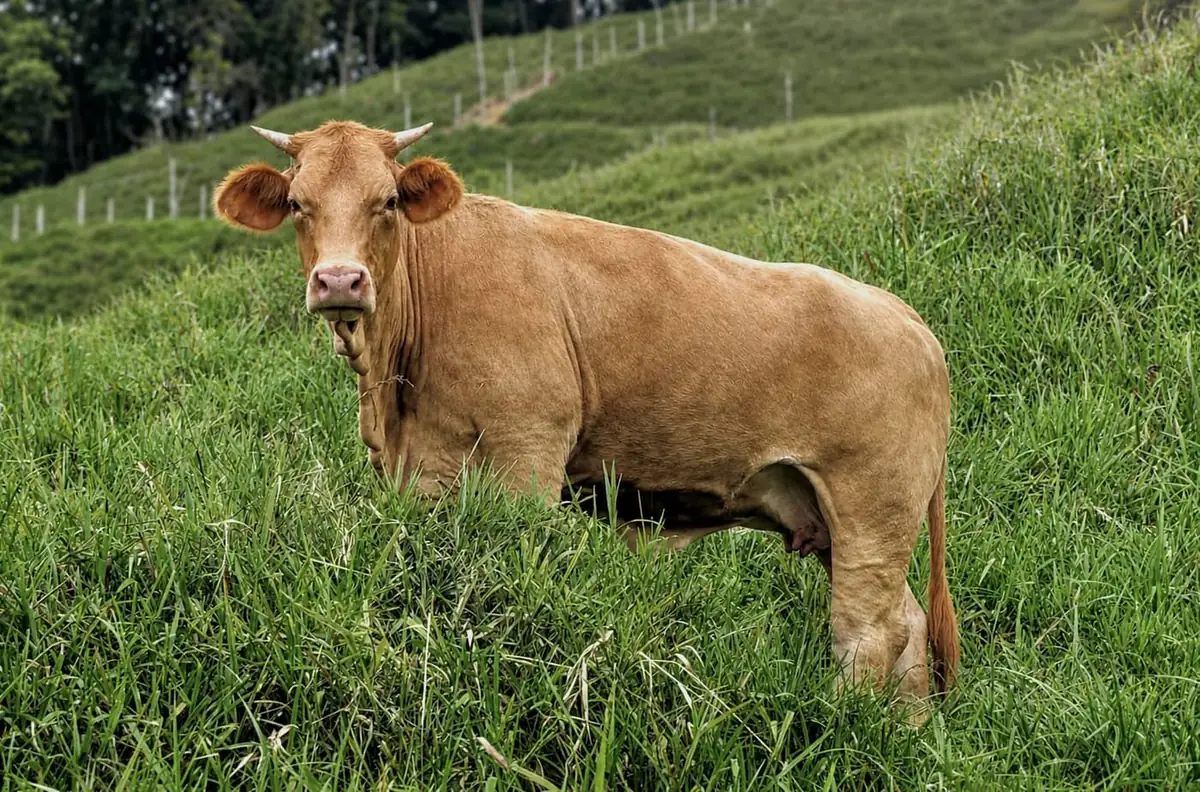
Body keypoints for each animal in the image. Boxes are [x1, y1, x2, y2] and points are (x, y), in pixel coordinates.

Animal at [213, 119, 959, 718]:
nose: (340, 281)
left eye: (388, 201)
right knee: (909, 623)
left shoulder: (527, 448)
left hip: (871, 503)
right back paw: (905, 736)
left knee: (869, 632)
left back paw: (842, 726)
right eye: (299, 205)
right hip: (837, 514)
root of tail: (909, 317)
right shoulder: (421, 471)